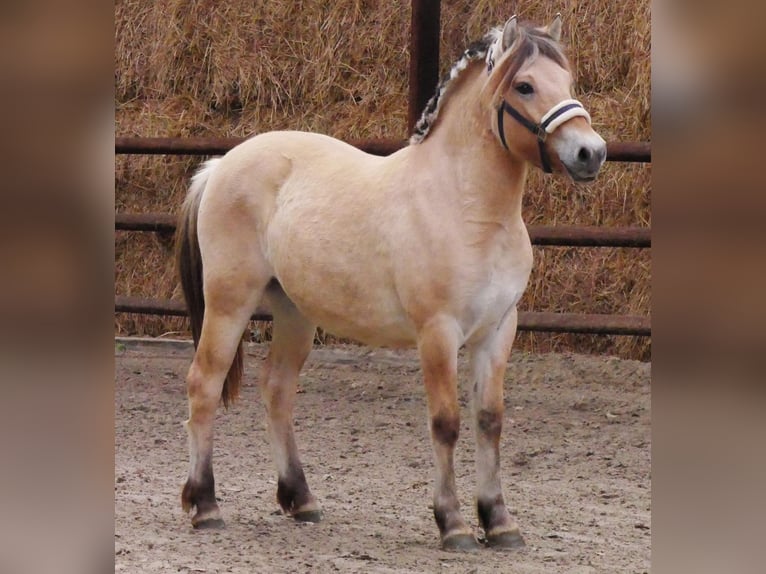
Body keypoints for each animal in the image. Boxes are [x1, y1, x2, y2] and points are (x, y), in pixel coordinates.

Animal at [175, 14, 606, 551]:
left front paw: (500, 521)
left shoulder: (498, 330)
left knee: (277, 388)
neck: (467, 207)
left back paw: (301, 499)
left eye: (567, 82)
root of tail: (219, 166)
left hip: (295, 312)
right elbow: (446, 423)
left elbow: (490, 421)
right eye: (524, 85)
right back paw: (205, 506)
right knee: (205, 384)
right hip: (229, 303)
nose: (591, 153)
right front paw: (454, 524)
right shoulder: (438, 332)